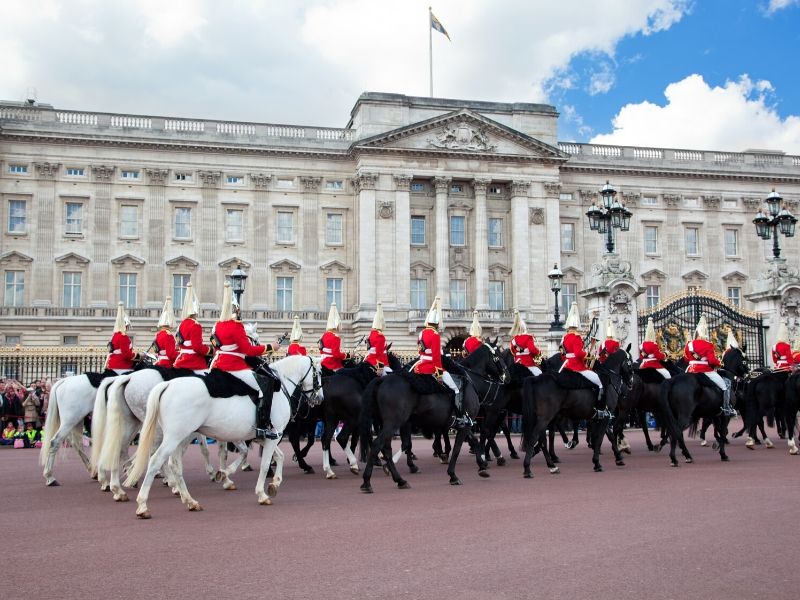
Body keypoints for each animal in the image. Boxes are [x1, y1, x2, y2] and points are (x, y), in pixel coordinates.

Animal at [123, 354, 320, 516]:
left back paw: (189, 500)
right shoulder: (273, 436)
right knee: (155, 460)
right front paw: (261, 493)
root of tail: (167, 384)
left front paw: (273, 483)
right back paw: (142, 504)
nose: (319, 398)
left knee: (174, 464)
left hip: (179, 437)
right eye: (318, 373)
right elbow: (264, 464)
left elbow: (278, 456)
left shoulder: (264, 437)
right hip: (174, 437)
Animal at [360, 342, 504, 492]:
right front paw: (453, 475)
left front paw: (481, 465)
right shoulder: (464, 424)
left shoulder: (463, 422)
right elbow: (457, 449)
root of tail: (382, 380)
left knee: (386, 448)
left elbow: (473, 441)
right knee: (377, 445)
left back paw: (399, 480)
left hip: (388, 423)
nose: (507, 375)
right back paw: (367, 481)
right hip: (393, 423)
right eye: (499, 355)